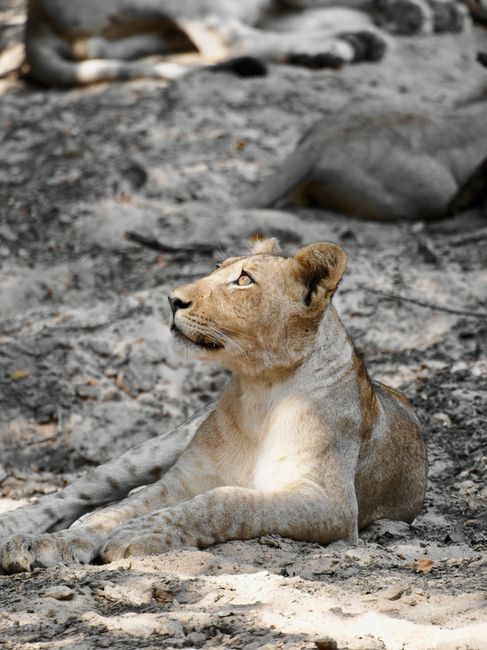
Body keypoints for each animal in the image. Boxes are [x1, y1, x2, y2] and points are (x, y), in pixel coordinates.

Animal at [0, 238, 427, 573]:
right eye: (216, 268)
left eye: (244, 280)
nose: (173, 299)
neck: (260, 390)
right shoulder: (184, 478)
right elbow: (119, 510)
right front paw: (46, 542)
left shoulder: (331, 503)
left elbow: (225, 502)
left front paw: (140, 532)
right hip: (155, 448)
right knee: (83, 491)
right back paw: (18, 524)